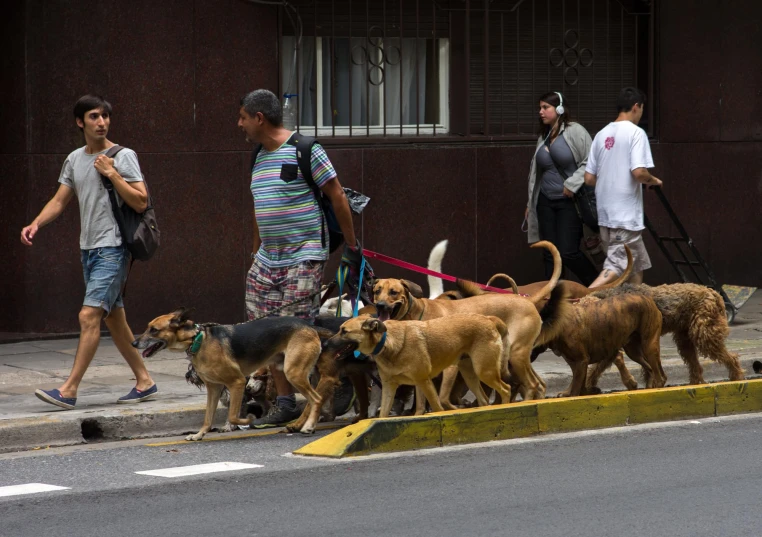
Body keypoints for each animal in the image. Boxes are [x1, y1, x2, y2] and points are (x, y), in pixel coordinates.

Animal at [130, 308, 330, 438]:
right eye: (148, 327)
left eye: (154, 330)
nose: (133, 343)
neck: (198, 339)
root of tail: (309, 326)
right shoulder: (214, 388)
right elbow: (208, 417)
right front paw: (200, 434)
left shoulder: (238, 382)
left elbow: (233, 415)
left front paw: (247, 420)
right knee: (313, 401)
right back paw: (300, 424)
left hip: (294, 373)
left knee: (317, 398)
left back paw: (309, 426)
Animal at [320, 310, 510, 414]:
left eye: (344, 331)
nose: (325, 344)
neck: (387, 342)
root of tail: (489, 319)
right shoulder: (391, 388)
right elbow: (388, 413)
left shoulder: (424, 382)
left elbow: (436, 407)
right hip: (470, 374)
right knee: (484, 399)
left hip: (484, 371)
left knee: (506, 389)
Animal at [588, 282, 744, 388]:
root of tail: (713, 292)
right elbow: (598, 367)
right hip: (684, 338)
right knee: (695, 366)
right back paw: (694, 383)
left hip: (704, 334)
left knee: (731, 358)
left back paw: (736, 376)